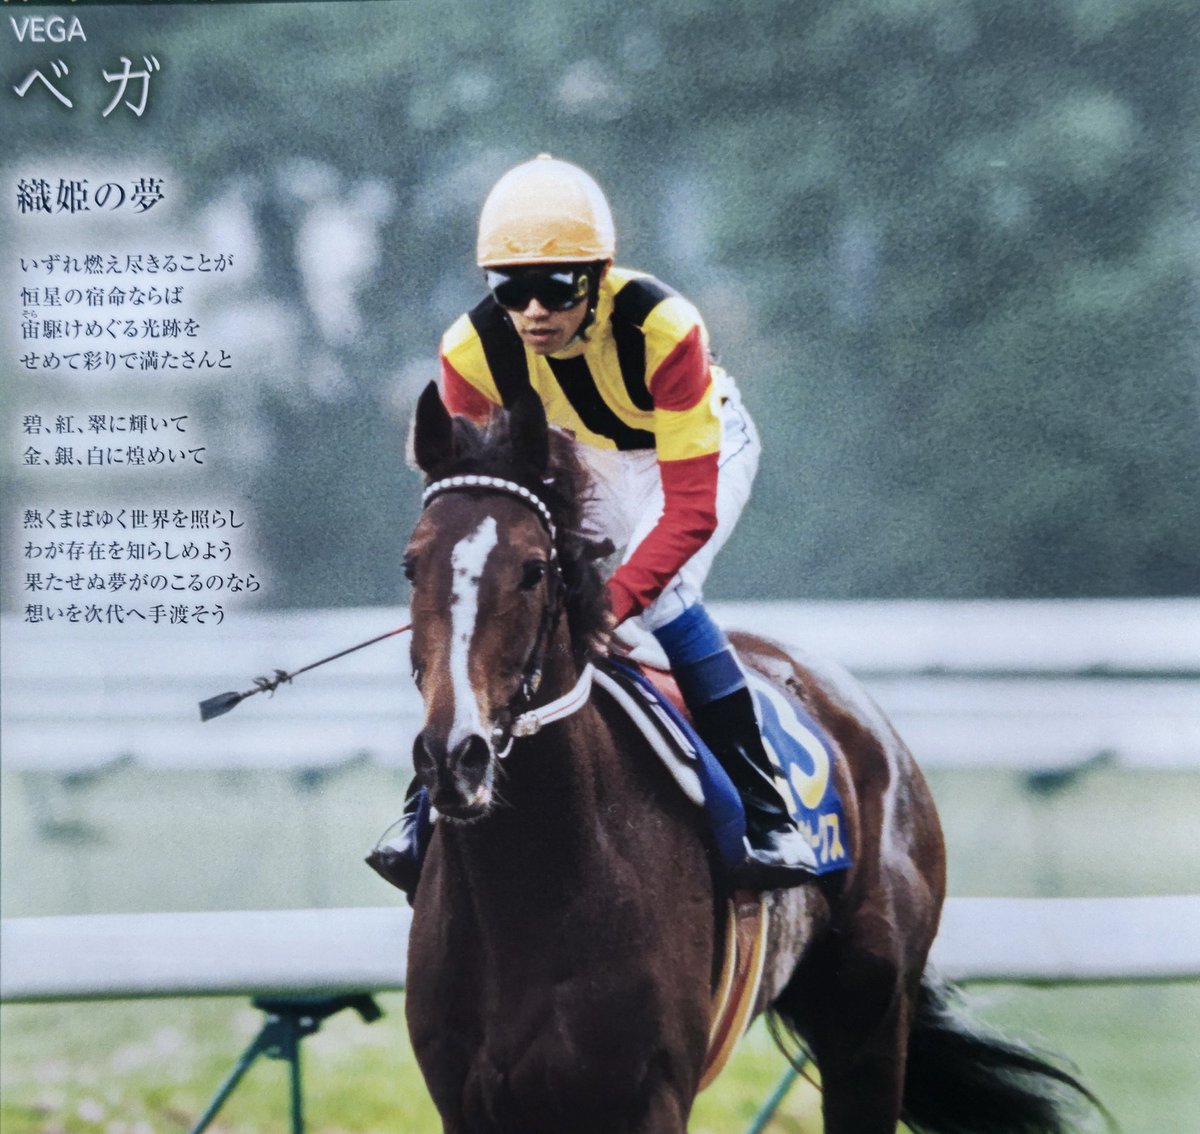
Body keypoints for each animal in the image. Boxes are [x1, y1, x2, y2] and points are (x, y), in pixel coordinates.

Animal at [400, 381, 1103, 1134]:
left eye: (533, 570)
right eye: (412, 565)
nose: (454, 757)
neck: (533, 894)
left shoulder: (648, 1096)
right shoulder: (470, 1102)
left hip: (871, 1024)